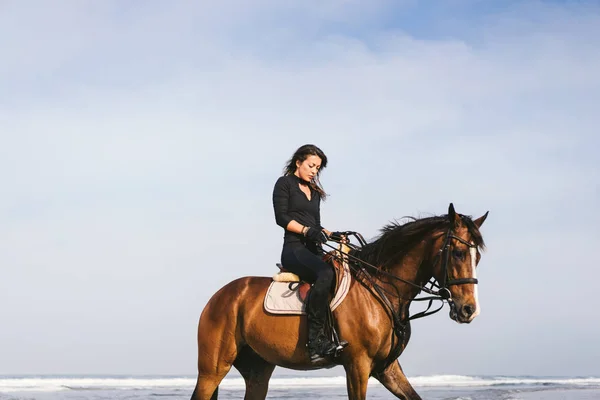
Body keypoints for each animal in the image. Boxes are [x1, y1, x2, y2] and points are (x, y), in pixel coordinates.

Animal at [191, 205, 488, 398]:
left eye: (477, 257)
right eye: (459, 253)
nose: (469, 310)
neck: (381, 287)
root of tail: (219, 297)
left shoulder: (387, 368)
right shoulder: (357, 366)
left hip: (258, 371)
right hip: (212, 370)